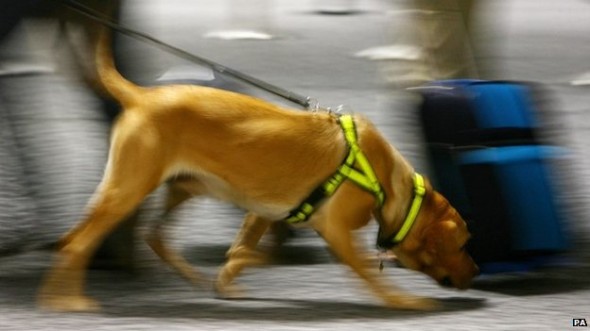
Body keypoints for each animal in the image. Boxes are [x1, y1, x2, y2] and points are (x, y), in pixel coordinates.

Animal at [38, 26, 480, 314]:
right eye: (462, 245)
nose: (477, 273)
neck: (383, 178)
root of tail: (141, 95)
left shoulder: (262, 213)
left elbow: (246, 251)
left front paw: (228, 276)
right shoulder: (335, 231)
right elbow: (368, 275)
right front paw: (404, 301)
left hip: (179, 187)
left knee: (141, 235)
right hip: (130, 190)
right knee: (80, 243)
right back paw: (67, 301)